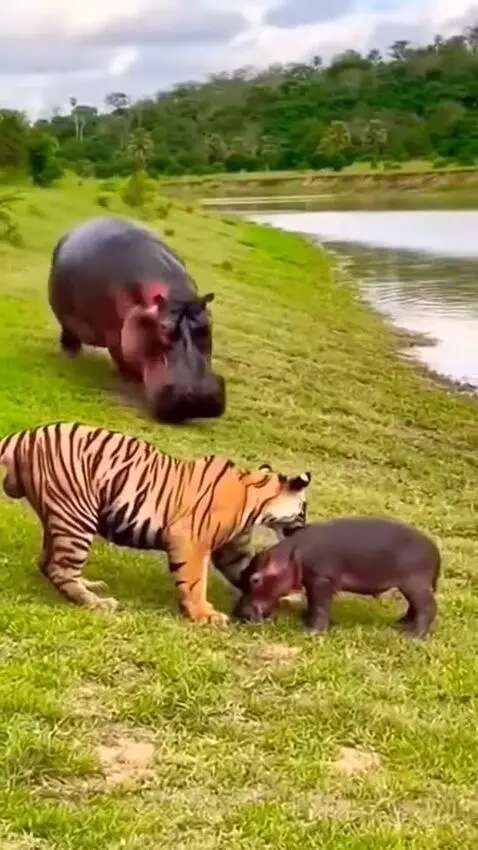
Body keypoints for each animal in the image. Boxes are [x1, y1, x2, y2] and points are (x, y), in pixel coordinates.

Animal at [0, 422, 311, 625]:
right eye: (304, 509)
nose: (307, 528)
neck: (254, 502)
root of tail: (24, 435)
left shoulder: (232, 550)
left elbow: (249, 571)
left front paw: (293, 596)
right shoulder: (191, 539)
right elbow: (195, 580)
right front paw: (205, 615)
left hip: (60, 516)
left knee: (48, 561)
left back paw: (91, 586)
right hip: (77, 515)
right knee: (60, 568)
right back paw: (96, 604)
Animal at [47, 216, 226, 424]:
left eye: (207, 325)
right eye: (163, 327)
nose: (199, 398)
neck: (176, 294)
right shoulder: (116, 335)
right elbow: (123, 359)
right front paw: (132, 379)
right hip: (66, 319)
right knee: (69, 333)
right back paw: (72, 353)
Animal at [233, 517, 441, 637]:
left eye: (255, 579)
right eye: (243, 573)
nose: (238, 612)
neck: (290, 556)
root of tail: (435, 550)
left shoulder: (321, 579)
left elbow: (319, 605)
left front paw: (310, 632)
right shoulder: (313, 580)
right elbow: (314, 604)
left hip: (414, 583)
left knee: (427, 607)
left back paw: (411, 636)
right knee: (415, 606)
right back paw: (401, 625)